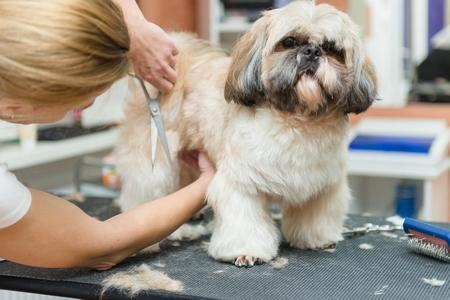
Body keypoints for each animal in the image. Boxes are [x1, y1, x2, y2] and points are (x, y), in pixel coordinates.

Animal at [115, 0, 376, 268]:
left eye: (331, 48)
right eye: (289, 41)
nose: (312, 51)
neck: (296, 120)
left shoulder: (321, 184)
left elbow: (314, 215)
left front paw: (316, 238)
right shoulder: (242, 182)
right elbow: (244, 220)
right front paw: (246, 251)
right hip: (155, 159)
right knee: (145, 191)